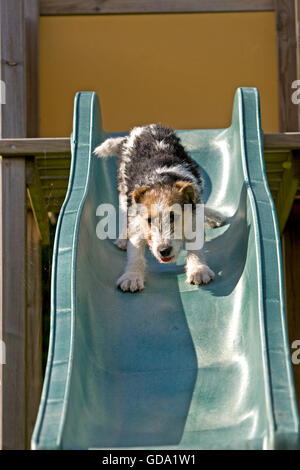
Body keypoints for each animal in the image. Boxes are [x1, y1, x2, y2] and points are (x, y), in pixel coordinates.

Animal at [94, 125, 225, 294]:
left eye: (173, 216)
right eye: (149, 220)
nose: (164, 250)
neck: (161, 181)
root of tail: (142, 128)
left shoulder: (194, 218)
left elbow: (196, 247)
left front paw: (198, 270)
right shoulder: (137, 223)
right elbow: (135, 253)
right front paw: (132, 277)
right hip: (123, 191)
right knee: (124, 214)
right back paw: (123, 238)